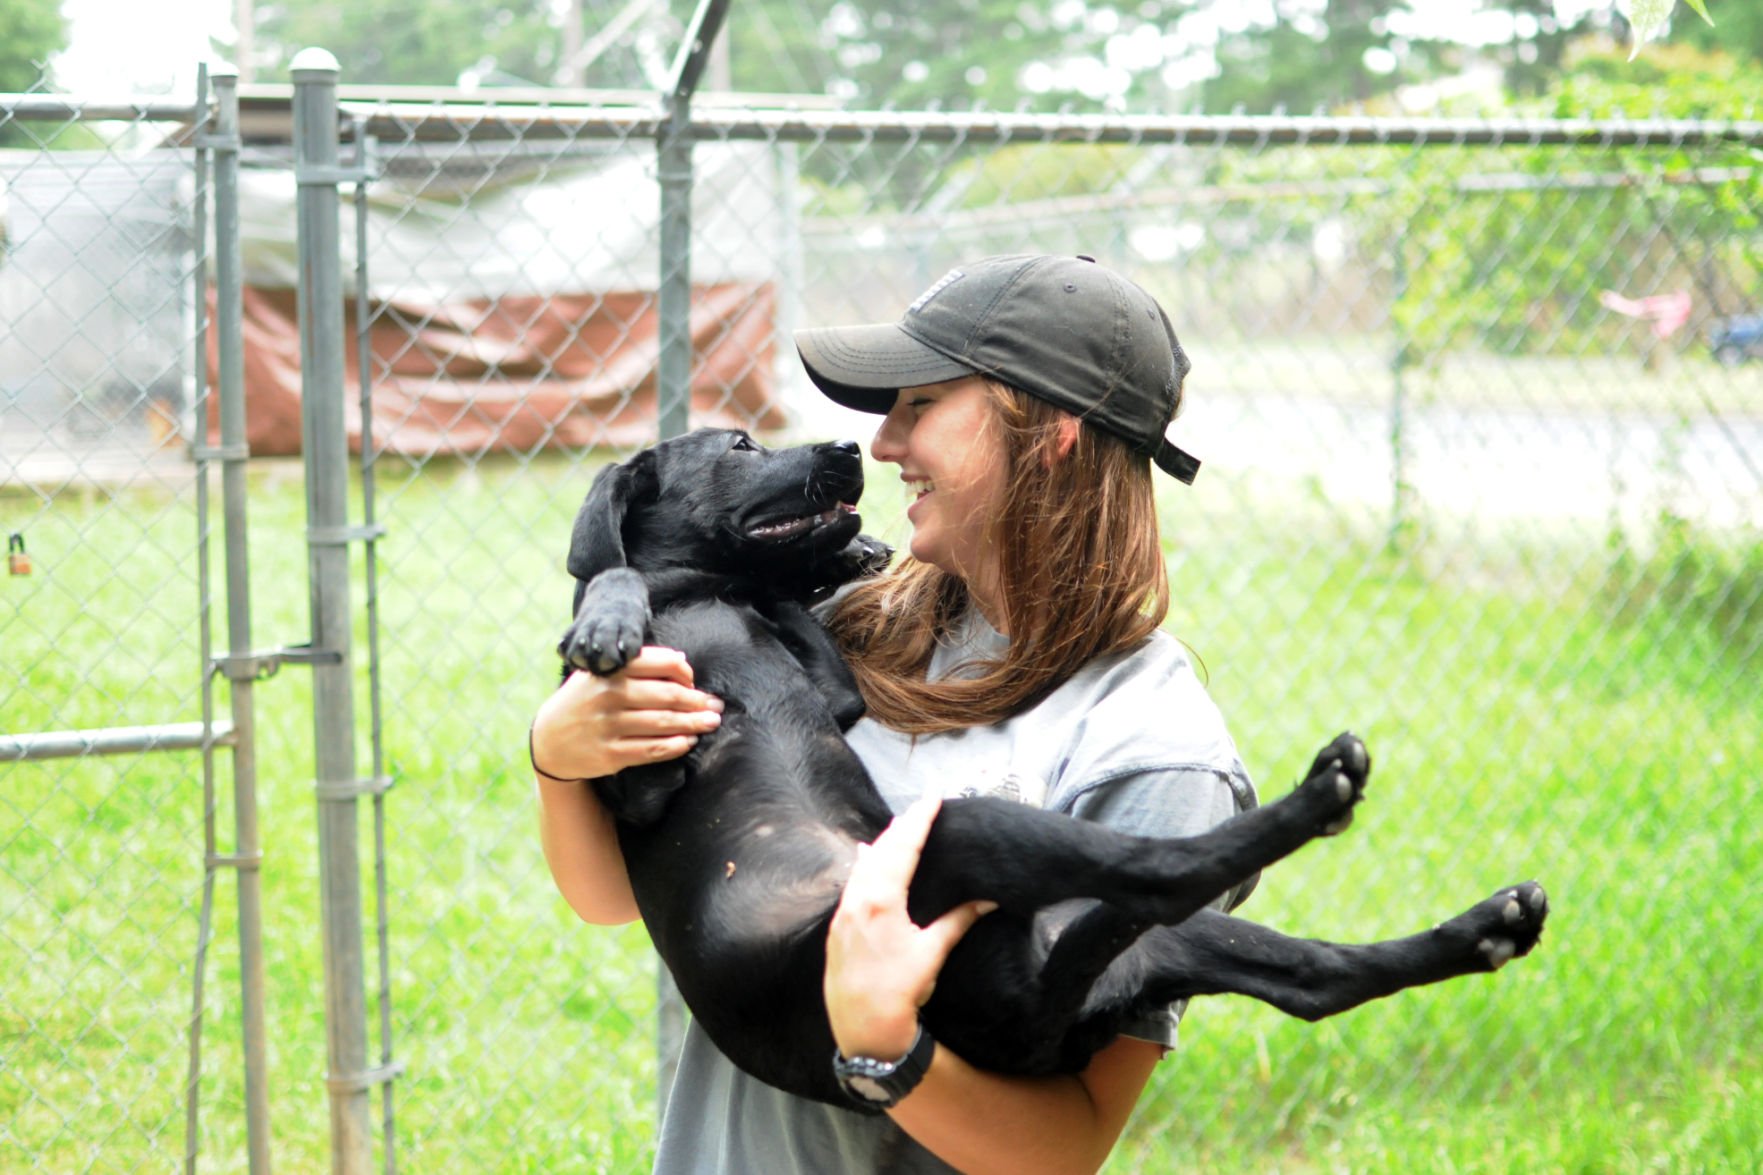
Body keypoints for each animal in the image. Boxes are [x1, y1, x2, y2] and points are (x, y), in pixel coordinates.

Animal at [557, 428, 1551, 1107]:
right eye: (738, 445)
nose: (845, 446)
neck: (710, 592)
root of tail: (1036, 1012)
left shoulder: (830, 688)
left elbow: (783, 610)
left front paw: (837, 556)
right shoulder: (641, 776)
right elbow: (617, 584)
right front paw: (607, 616)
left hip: (1153, 936)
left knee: (1315, 974)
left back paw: (1483, 926)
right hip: (964, 839)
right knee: (1162, 874)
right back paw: (1321, 801)